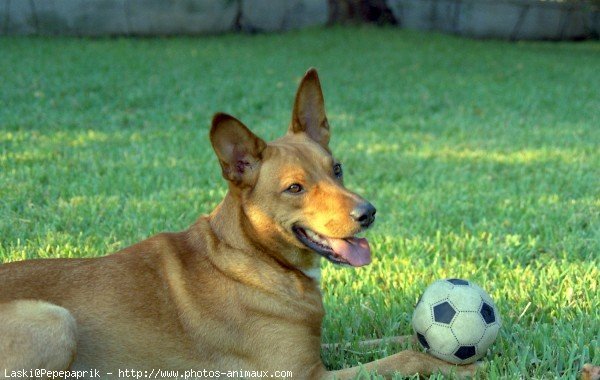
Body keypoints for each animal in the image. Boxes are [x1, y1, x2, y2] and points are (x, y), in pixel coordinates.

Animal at [1, 70, 478, 378]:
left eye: (337, 169)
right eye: (294, 188)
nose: (369, 213)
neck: (252, 256)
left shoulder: (314, 350)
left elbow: (399, 341)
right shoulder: (305, 376)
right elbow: (407, 360)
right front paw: (465, 365)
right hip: (55, 320)